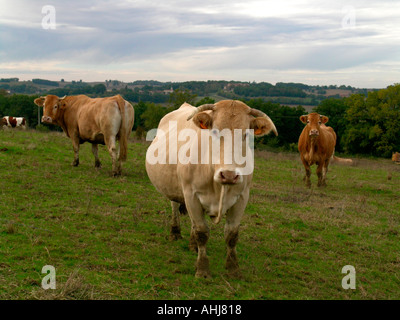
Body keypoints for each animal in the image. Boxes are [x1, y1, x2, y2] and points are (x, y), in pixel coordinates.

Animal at [145, 100, 278, 278]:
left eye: (246, 135)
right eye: (214, 131)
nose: (229, 175)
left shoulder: (242, 197)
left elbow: (231, 234)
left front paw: (233, 268)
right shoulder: (191, 195)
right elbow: (202, 232)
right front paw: (202, 269)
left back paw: (192, 245)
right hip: (176, 189)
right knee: (174, 206)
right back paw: (175, 233)